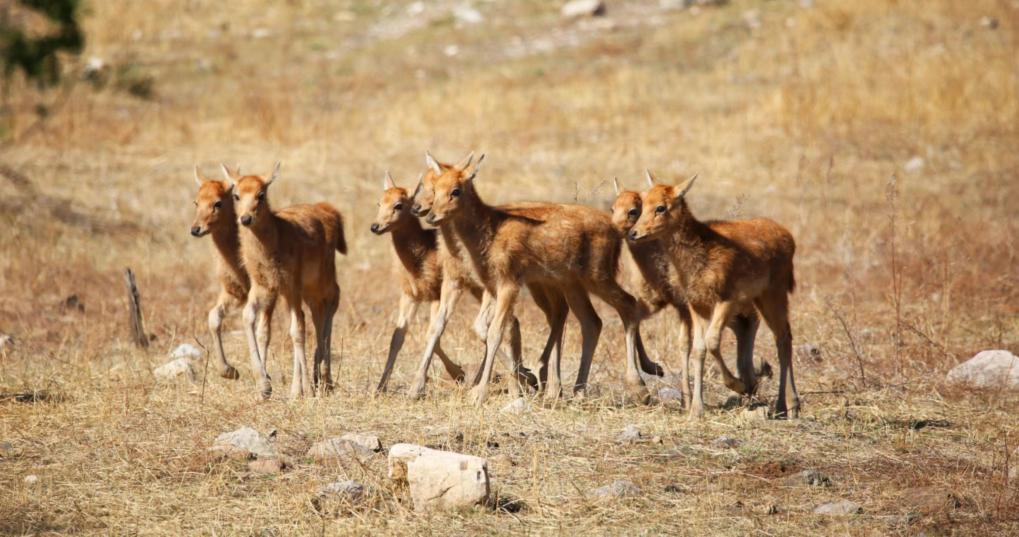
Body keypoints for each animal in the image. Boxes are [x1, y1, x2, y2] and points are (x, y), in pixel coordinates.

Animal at [226, 162, 346, 399]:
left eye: (261, 194)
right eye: (236, 195)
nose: (245, 218)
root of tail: (331, 212)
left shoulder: (292, 285)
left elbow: (297, 331)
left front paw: (305, 390)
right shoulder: (263, 286)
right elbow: (250, 319)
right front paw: (264, 385)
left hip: (322, 277)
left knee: (333, 299)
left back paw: (323, 378)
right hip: (307, 290)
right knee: (316, 314)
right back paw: (316, 379)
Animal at [415, 152, 652, 406]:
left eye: (456, 190)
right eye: (435, 187)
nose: (429, 214)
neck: (487, 233)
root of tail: (617, 230)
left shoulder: (508, 283)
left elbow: (496, 331)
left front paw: (481, 393)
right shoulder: (484, 284)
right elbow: (467, 327)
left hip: (597, 276)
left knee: (628, 304)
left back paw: (639, 387)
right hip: (570, 283)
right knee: (591, 321)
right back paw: (576, 390)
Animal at [610, 178, 769, 408]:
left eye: (634, 210)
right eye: (613, 208)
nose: (624, 232)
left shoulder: (685, 306)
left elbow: (686, 345)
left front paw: (687, 400)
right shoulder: (657, 303)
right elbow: (632, 322)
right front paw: (646, 379)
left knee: (751, 320)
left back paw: (746, 382)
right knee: (742, 325)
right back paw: (749, 382)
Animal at [628, 171, 798, 418]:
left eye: (661, 207)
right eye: (642, 204)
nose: (634, 233)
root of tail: (789, 238)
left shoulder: (727, 299)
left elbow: (712, 341)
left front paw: (740, 385)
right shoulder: (696, 305)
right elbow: (698, 349)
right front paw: (696, 409)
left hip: (774, 294)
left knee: (783, 337)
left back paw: (790, 405)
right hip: (760, 297)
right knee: (781, 336)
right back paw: (783, 405)